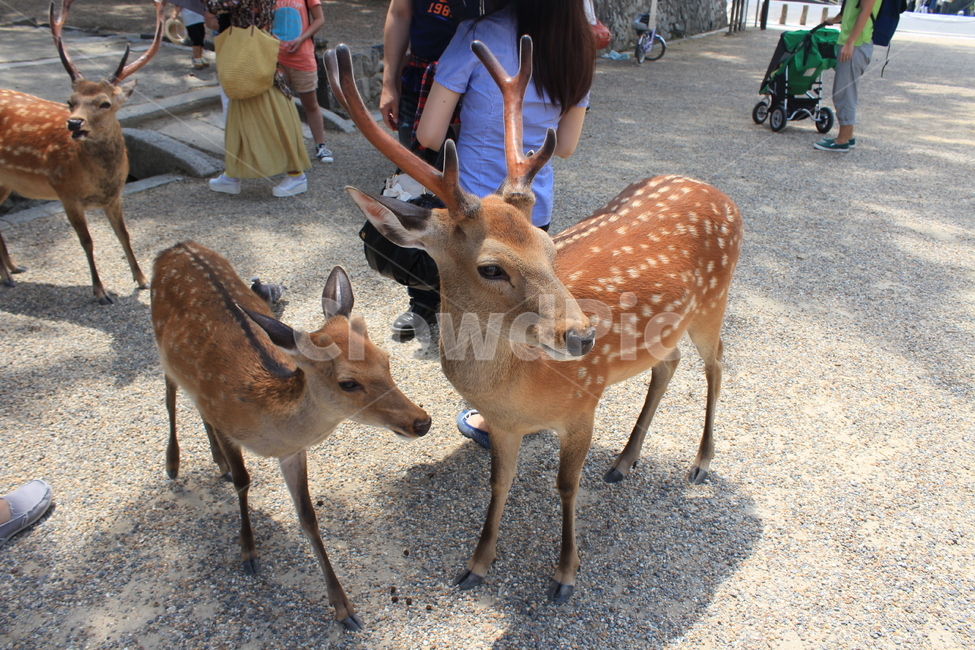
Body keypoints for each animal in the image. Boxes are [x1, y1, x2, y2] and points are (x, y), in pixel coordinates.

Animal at [0, 0, 166, 303]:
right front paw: (101, 292)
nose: (74, 123)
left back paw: (14, 267)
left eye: (104, 103)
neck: (98, 180)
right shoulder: (66, 193)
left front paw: (142, 280)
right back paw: (6, 276)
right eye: (70, 101)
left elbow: (124, 234)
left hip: (6, 181)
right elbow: (87, 241)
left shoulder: (114, 196)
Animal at [151, 240, 432, 631]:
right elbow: (243, 481)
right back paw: (173, 463)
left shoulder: (292, 451)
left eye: (386, 359)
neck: (264, 424)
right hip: (161, 348)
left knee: (196, 408)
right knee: (170, 395)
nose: (422, 422)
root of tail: (175, 247)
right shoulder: (228, 424)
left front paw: (344, 608)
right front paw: (248, 551)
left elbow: (308, 517)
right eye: (348, 382)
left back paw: (216, 462)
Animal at [324, 37, 743, 606]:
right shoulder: (502, 424)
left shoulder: (584, 402)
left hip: (714, 302)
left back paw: (701, 462)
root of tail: (724, 196)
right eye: (491, 267)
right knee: (668, 363)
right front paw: (476, 564)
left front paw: (564, 574)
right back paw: (625, 461)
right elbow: (500, 483)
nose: (585, 335)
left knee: (716, 363)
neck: (520, 390)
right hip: (669, 326)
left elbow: (565, 486)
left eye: (548, 246)